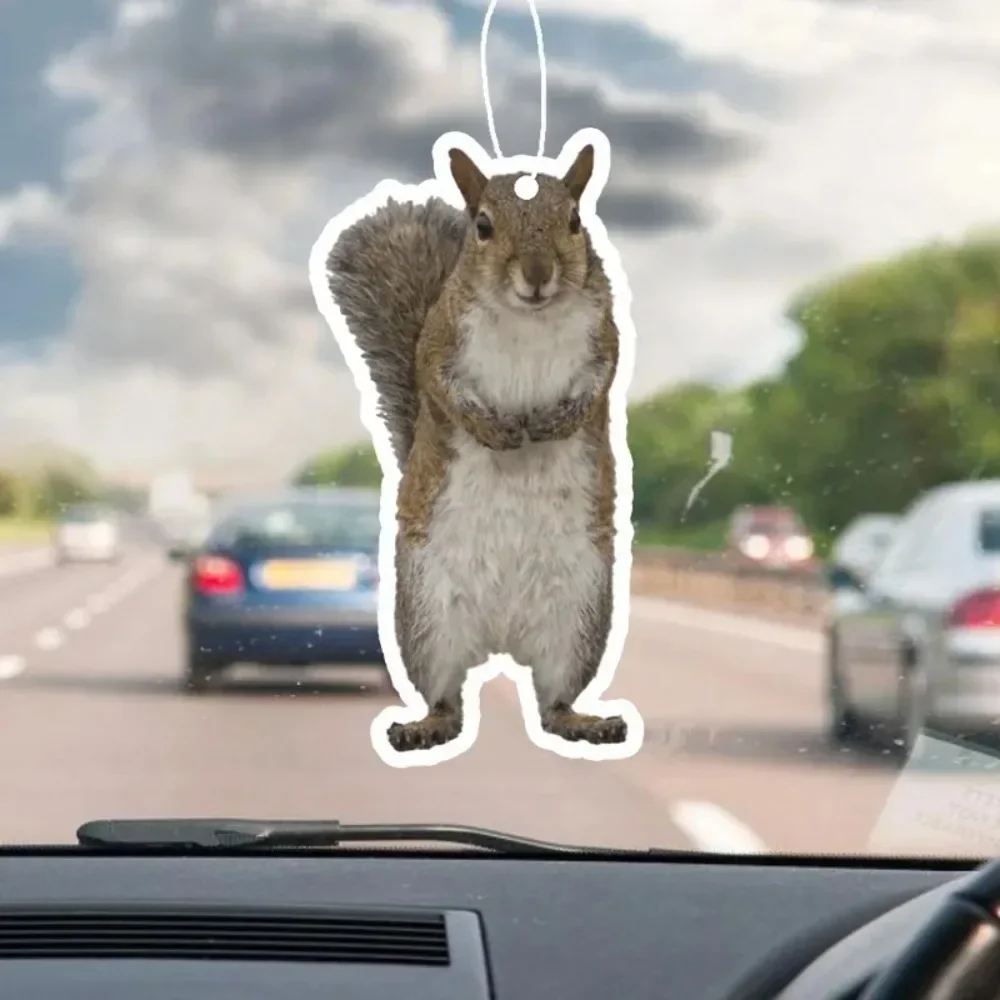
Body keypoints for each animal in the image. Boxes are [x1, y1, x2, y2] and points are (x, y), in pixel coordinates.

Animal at [325, 143, 626, 752]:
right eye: (482, 226)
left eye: (575, 221)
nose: (537, 275)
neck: (529, 319)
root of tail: (502, 641)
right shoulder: (440, 341)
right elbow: (438, 384)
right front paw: (492, 429)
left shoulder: (605, 336)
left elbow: (600, 379)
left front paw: (559, 419)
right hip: (427, 617)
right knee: (447, 696)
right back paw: (426, 727)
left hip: (580, 615)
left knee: (553, 700)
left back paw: (584, 721)